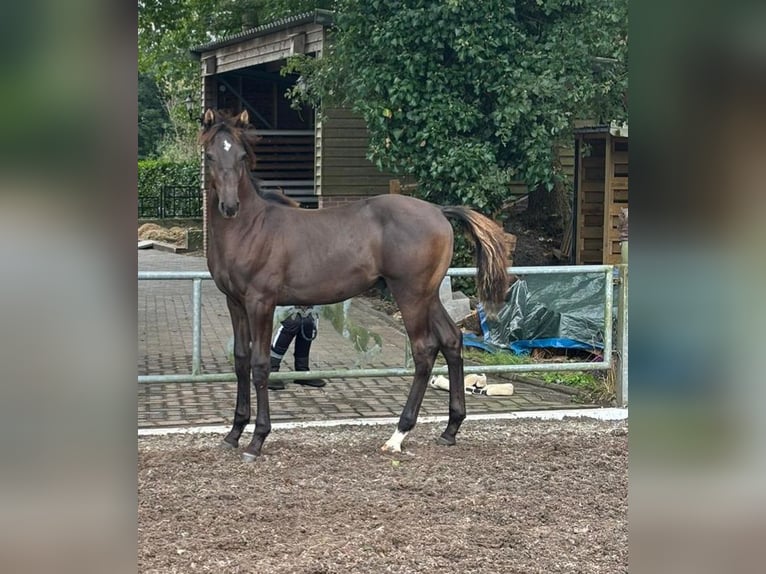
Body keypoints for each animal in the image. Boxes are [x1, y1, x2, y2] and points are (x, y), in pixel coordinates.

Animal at [200, 109, 510, 464]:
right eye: (210, 155)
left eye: (241, 156)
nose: (229, 207)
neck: (250, 228)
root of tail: (438, 210)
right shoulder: (235, 302)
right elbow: (240, 360)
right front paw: (234, 433)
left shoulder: (260, 303)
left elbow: (260, 364)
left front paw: (256, 440)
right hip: (428, 295)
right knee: (451, 339)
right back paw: (450, 429)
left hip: (411, 295)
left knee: (425, 349)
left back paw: (398, 435)